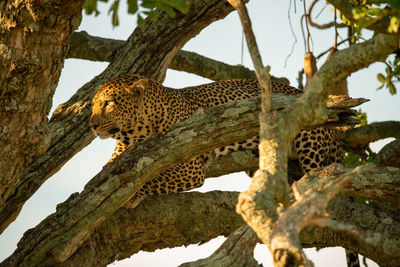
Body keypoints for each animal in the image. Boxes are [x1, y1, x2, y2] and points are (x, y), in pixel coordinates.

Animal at [90, 75, 360, 267]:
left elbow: (154, 178)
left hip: (309, 138)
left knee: (315, 176)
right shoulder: (120, 156)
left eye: (109, 103)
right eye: (92, 106)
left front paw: (132, 195)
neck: (134, 132)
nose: (91, 125)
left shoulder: (190, 165)